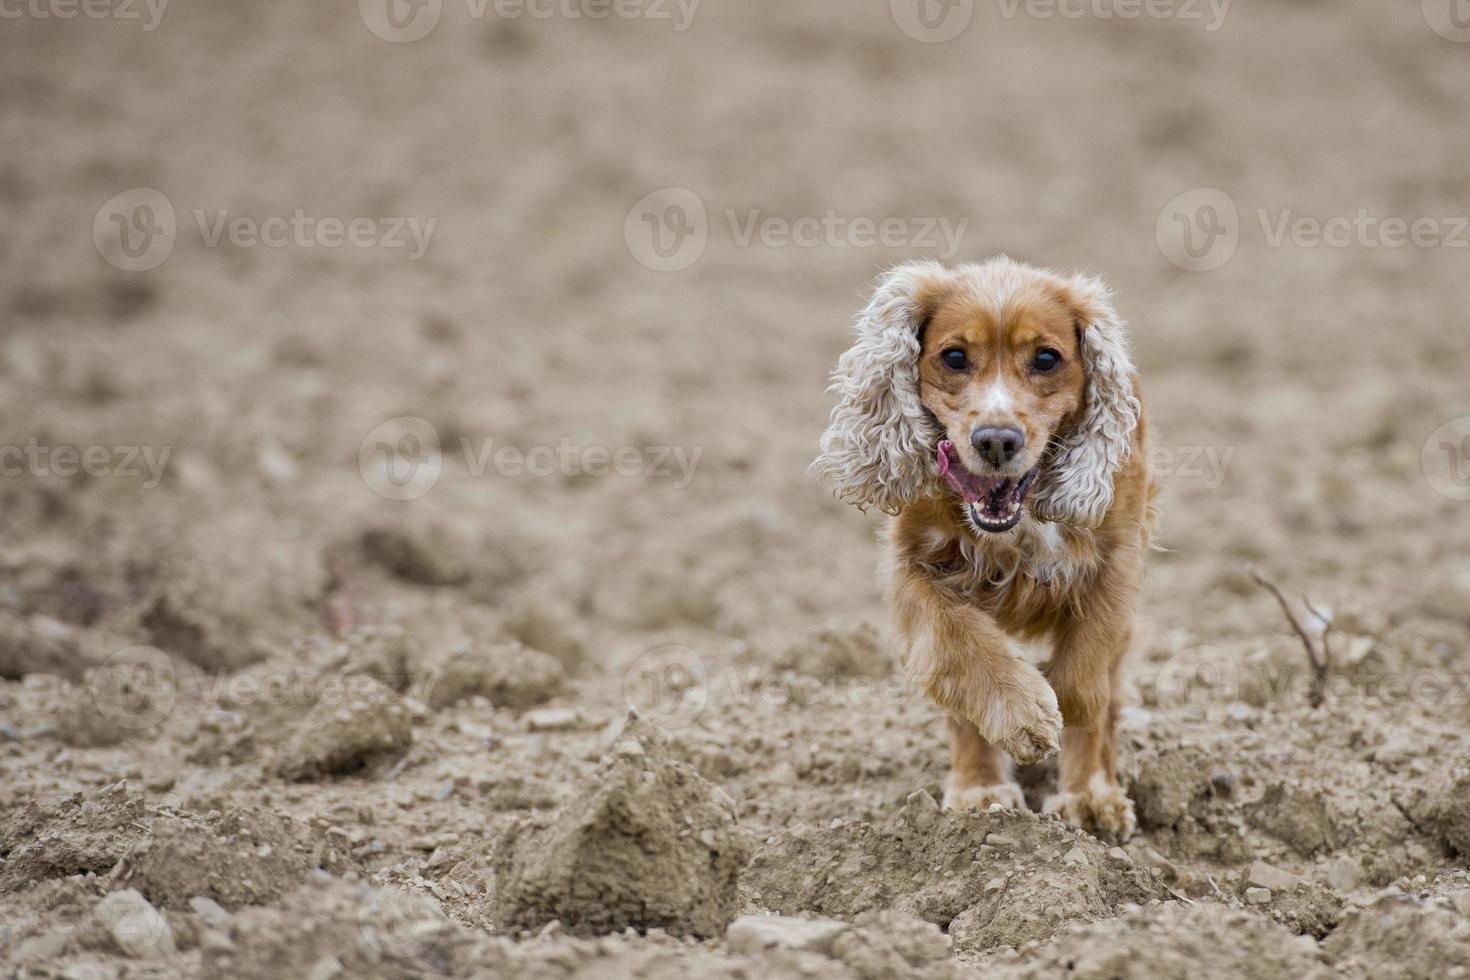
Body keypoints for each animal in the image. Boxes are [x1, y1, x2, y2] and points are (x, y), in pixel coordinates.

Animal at [817, 257, 1146, 840]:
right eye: (954, 357)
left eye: (1046, 358)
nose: (996, 440)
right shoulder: (914, 570)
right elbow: (959, 648)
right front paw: (1019, 719)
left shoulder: (1114, 568)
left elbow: (1084, 689)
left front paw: (1087, 794)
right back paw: (979, 788)